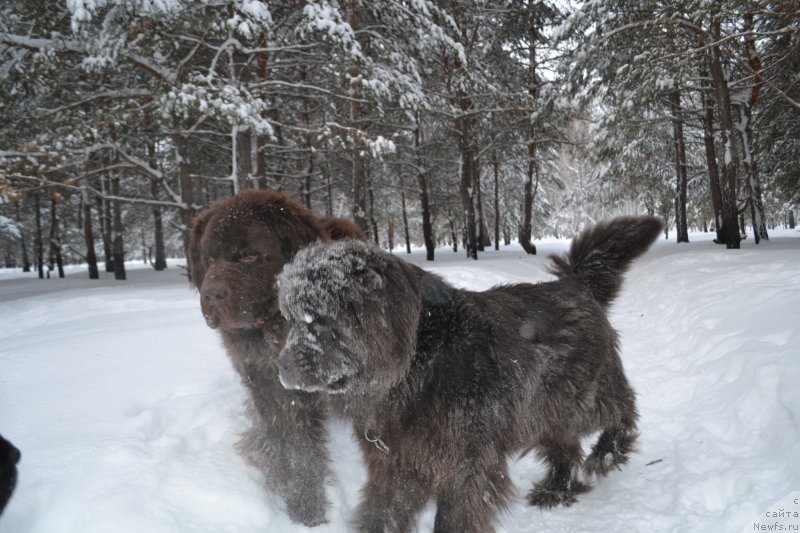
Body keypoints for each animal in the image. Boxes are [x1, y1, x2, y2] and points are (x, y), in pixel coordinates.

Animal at [188, 190, 362, 524]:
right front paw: (298, 503)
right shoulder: (268, 386)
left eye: (249, 256)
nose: (210, 294)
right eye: (209, 258)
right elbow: (291, 448)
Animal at [276, 214, 664, 528]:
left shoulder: (467, 467)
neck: (415, 367)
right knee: (565, 447)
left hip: (577, 400)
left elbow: (454, 517)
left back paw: (608, 449)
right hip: (539, 412)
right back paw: (557, 489)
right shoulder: (396, 468)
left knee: (621, 408)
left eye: (316, 320)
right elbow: (381, 513)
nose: (281, 368)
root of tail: (576, 283)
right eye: (289, 319)